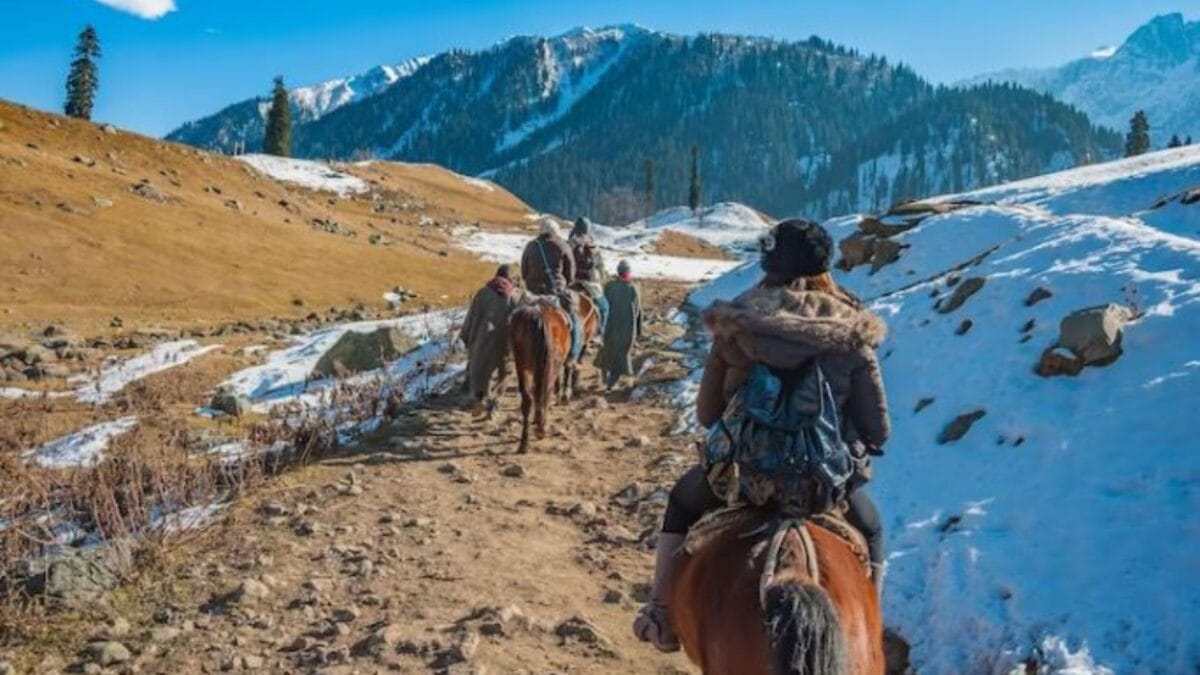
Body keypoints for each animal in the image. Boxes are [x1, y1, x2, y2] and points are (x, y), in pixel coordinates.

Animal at [506, 295, 571, 449]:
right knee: (545, 392)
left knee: (528, 398)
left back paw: (524, 442)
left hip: (523, 364)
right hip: (549, 365)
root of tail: (540, 316)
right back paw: (541, 428)